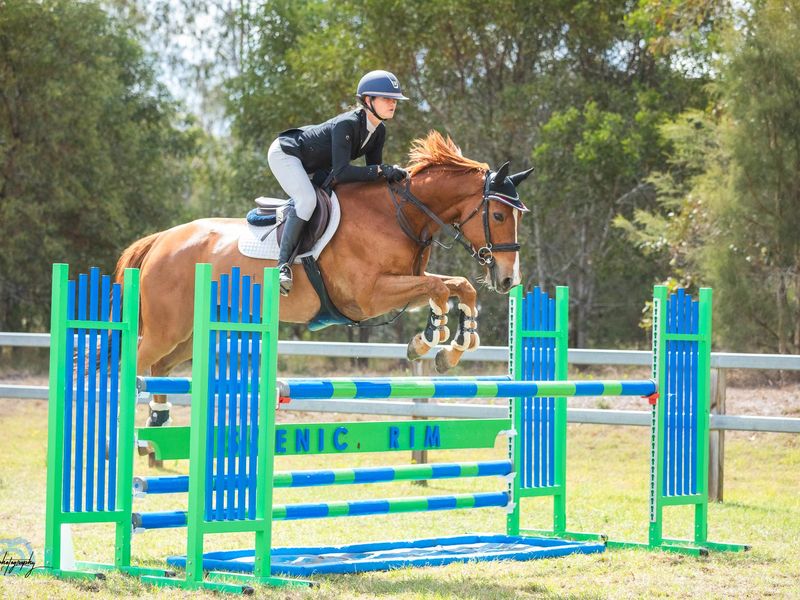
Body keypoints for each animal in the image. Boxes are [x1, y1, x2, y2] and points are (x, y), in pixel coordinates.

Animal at [115, 131, 533, 427]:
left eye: (518, 216)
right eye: (498, 215)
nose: (508, 279)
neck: (399, 214)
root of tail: (161, 240)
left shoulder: (401, 282)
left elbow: (457, 286)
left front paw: (450, 349)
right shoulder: (368, 296)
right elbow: (438, 288)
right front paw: (428, 338)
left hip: (189, 334)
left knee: (160, 369)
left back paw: (158, 418)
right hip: (166, 329)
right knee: (130, 364)